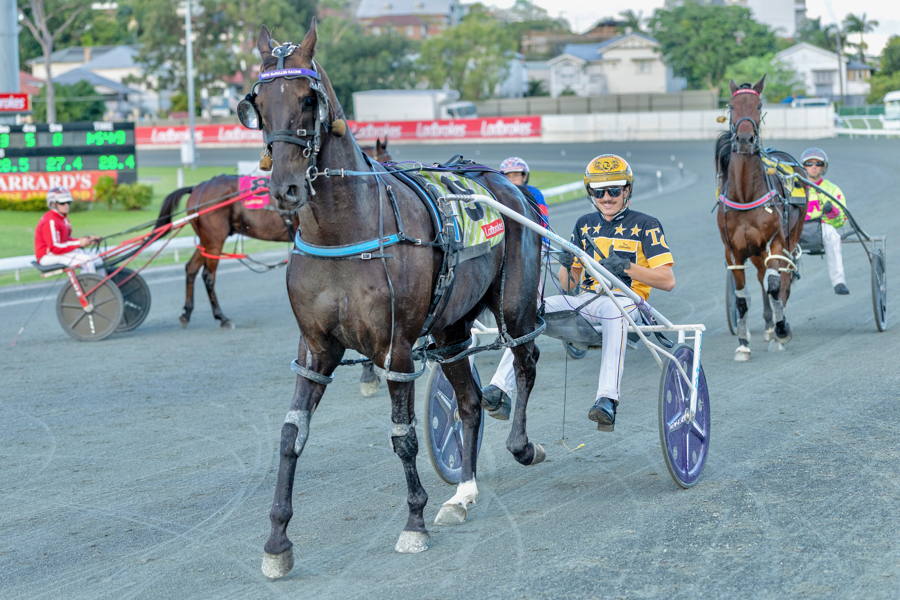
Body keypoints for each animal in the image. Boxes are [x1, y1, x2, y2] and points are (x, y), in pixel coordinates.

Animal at [250, 21, 545, 578]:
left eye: (306, 99)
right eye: (257, 102)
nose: (285, 188)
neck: (344, 231)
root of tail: (502, 183)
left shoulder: (396, 347)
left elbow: (403, 435)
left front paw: (414, 523)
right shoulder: (314, 349)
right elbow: (289, 435)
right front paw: (277, 541)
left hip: (515, 306)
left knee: (526, 359)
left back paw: (522, 445)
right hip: (450, 328)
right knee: (468, 400)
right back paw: (463, 493)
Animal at [715, 76, 808, 361]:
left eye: (758, 105)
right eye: (731, 106)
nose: (745, 139)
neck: (746, 195)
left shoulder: (775, 243)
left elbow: (776, 286)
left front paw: (782, 331)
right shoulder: (733, 252)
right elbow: (741, 298)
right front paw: (743, 344)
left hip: (791, 236)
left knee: (782, 278)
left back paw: (778, 328)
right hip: (755, 251)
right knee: (760, 276)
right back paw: (768, 324)